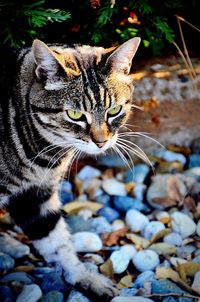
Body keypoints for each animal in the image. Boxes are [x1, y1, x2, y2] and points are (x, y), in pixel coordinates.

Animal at [0, 37, 141, 300]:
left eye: (114, 110)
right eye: (75, 114)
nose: (101, 142)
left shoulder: (35, 194)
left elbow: (56, 241)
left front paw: (85, 278)